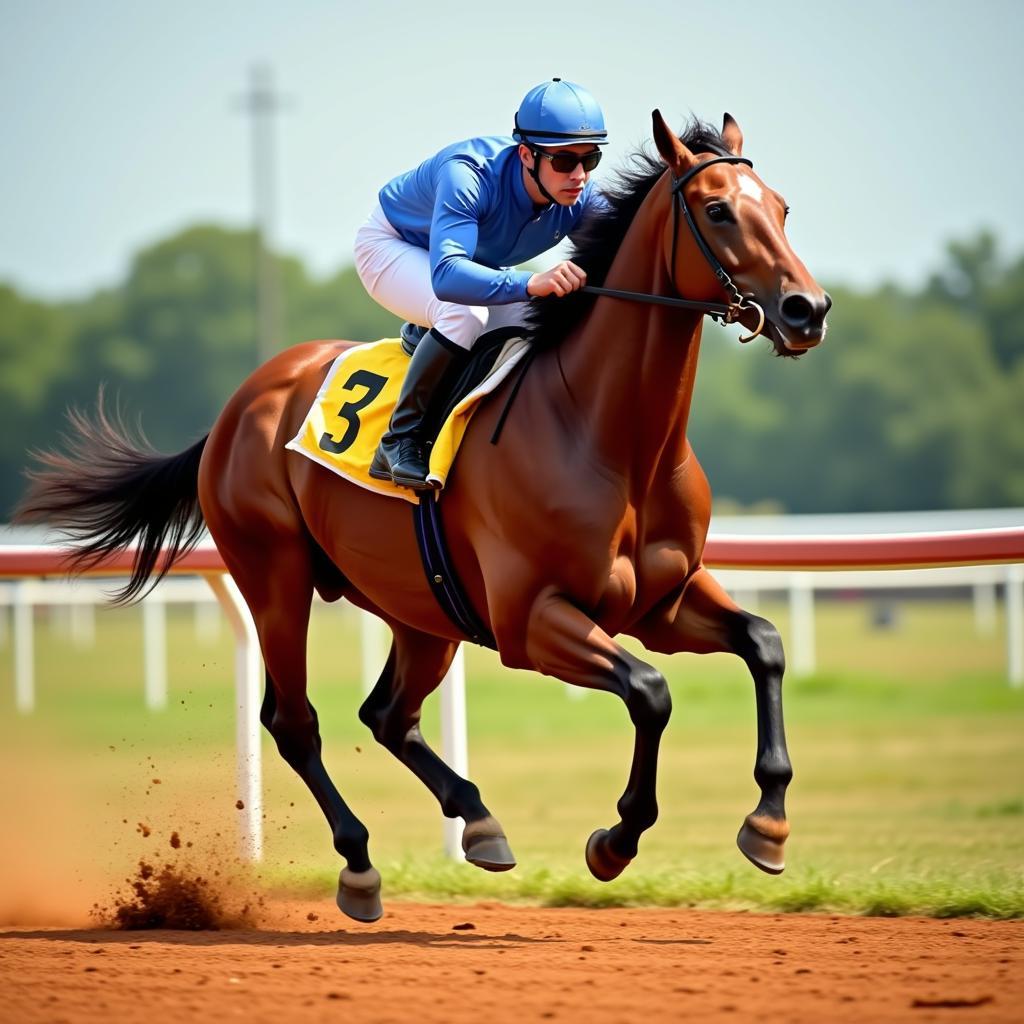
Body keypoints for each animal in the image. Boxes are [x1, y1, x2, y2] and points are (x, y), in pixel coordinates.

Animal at [18, 110, 831, 921]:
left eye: (783, 207)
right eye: (719, 210)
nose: (807, 310)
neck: (609, 435)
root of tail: (240, 403)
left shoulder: (663, 600)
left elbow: (763, 643)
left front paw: (769, 823)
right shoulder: (530, 621)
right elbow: (650, 691)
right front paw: (616, 838)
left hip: (422, 607)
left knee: (387, 715)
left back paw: (479, 822)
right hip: (274, 575)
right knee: (294, 722)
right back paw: (359, 865)